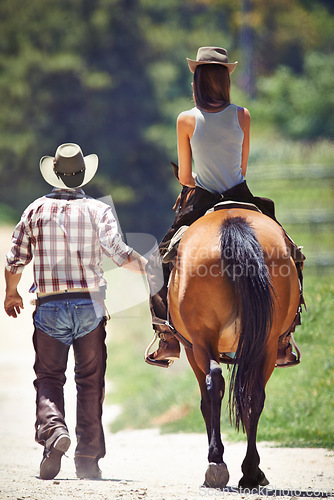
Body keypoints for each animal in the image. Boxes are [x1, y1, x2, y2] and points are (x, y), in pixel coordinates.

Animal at [168, 207, 302, 488]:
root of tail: (231, 222)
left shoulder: (191, 349)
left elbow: (205, 402)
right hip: (266, 345)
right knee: (253, 394)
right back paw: (250, 471)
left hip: (202, 341)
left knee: (215, 383)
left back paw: (218, 462)